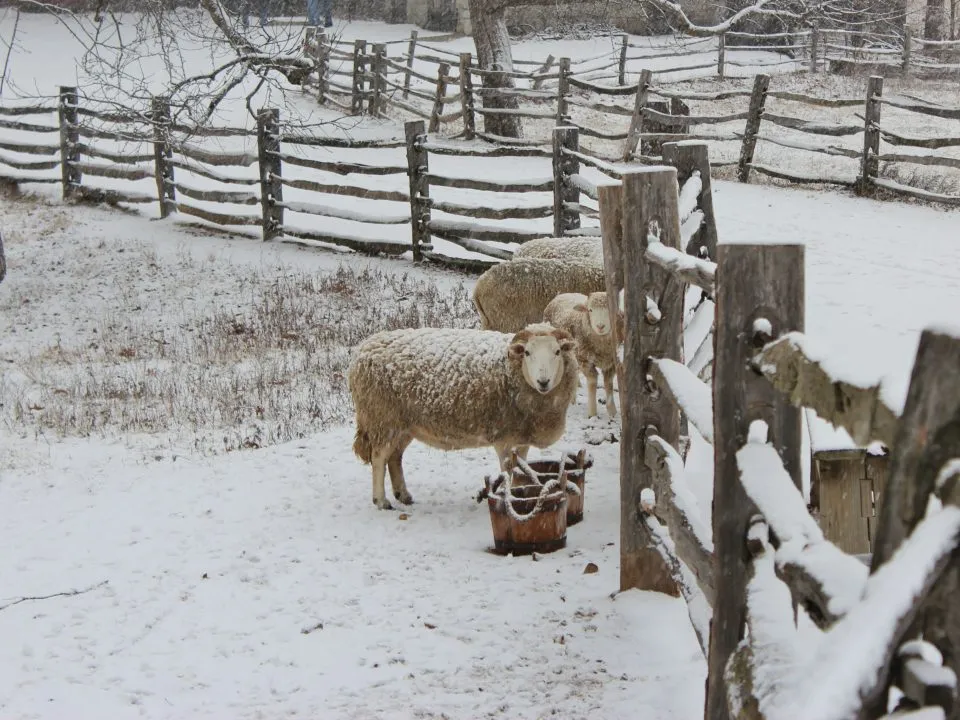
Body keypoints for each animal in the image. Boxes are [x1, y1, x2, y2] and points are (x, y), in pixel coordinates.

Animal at [348, 322, 580, 510]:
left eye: (557, 351)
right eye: (527, 353)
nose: (543, 382)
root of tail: (362, 350)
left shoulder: (521, 439)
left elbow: (521, 469)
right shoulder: (503, 438)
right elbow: (508, 471)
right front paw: (510, 498)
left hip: (405, 425)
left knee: (395, 457)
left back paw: (403, 495)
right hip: (382, 417)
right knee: (379, 458)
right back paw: (381, 501)